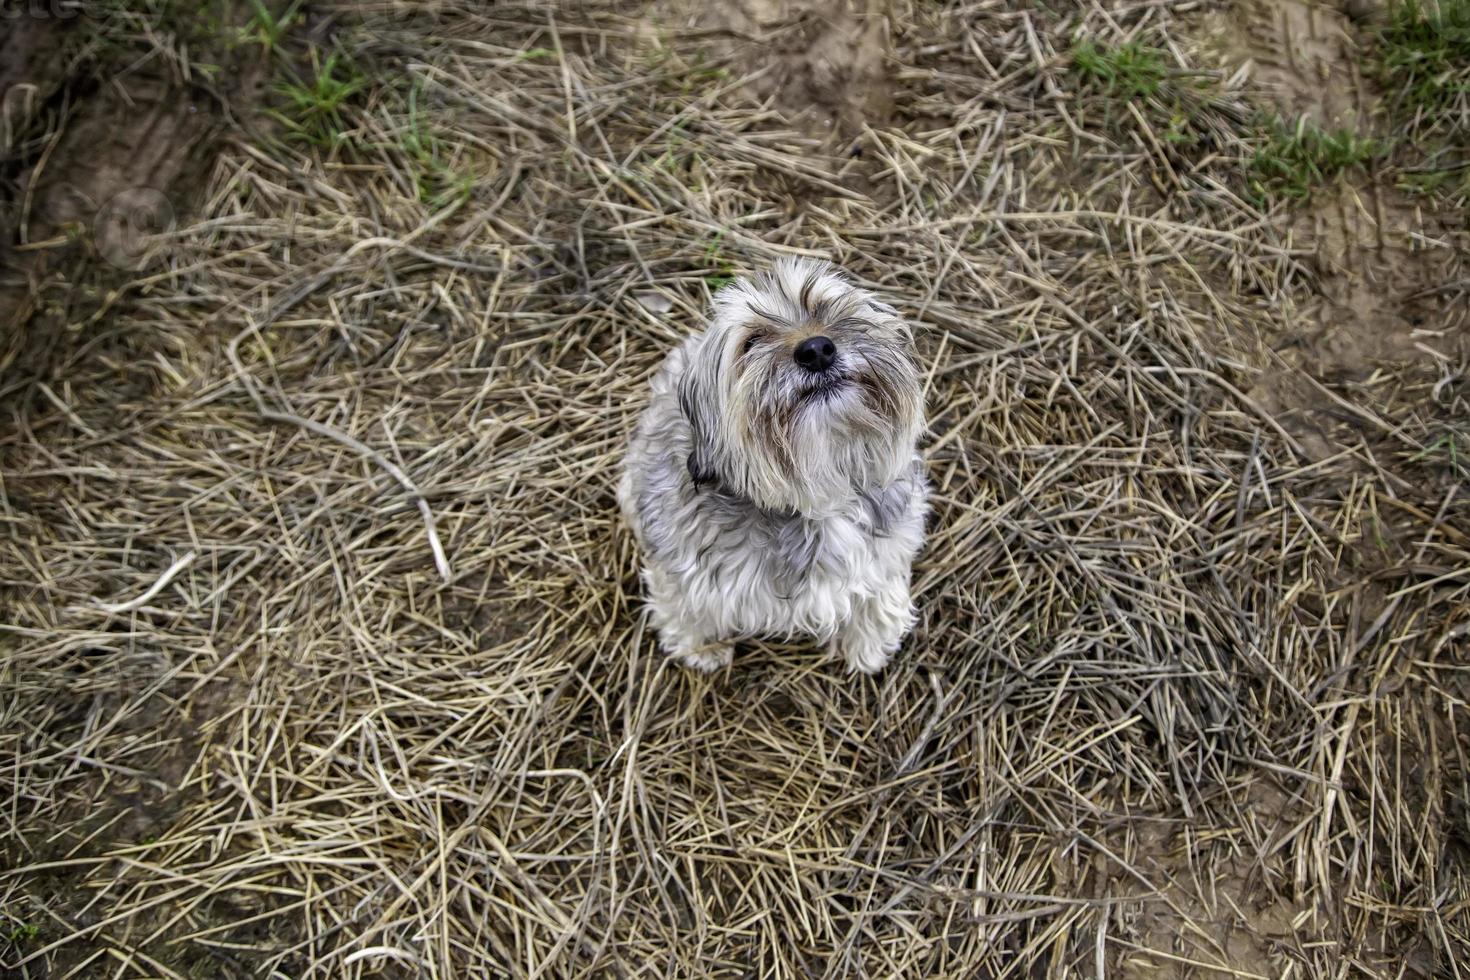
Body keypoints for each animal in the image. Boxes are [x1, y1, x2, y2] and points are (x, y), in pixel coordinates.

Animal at [614, 258, 923, 675]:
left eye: (823, 307)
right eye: (751, 342)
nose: (817, 350)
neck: (819, 491)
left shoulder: (888, 551)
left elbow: (879, 592)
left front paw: (870, 642)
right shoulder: (685, 572)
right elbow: (685, 607)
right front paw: (702, 646)